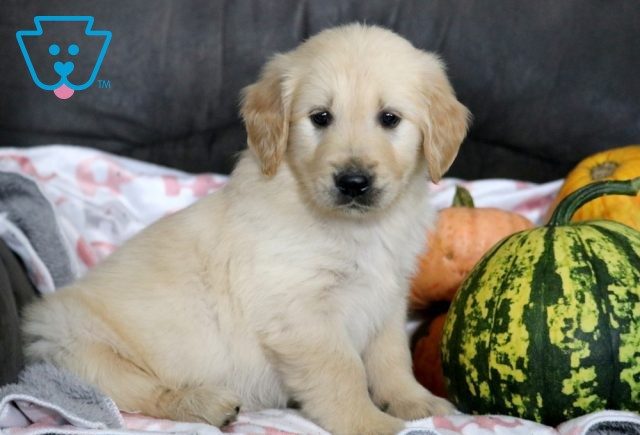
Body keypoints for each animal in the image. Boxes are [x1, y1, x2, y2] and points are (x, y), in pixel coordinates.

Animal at [21, 23, 470, 435]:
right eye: (321, 117)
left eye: (389, 118)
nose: (353, 182)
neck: (356, 228)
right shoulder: (301, 314)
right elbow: (342, 372)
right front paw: (369, 423)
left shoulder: (388, 299)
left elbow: (392, 359)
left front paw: (415, 401)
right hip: (85, 351)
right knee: (145, 395)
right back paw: (206, 403)